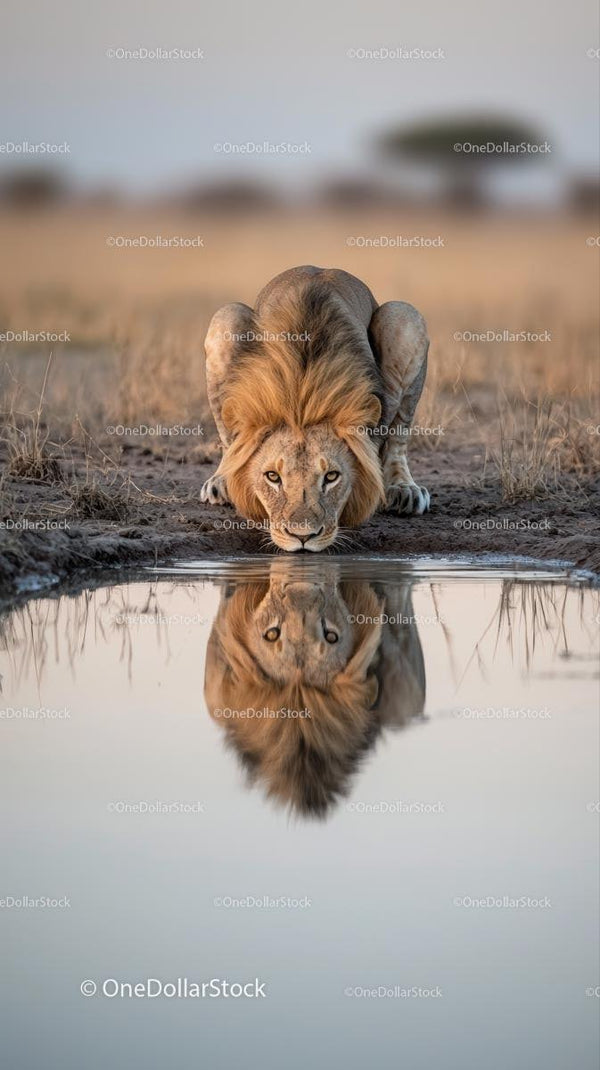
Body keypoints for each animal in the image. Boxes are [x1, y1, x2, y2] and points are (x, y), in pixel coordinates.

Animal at [201, 266, 430, 551]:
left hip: (402, 316)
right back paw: (220, 483)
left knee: (398, 437)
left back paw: (404, 489)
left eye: (331, 476)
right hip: (226, 317)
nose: (302, 536)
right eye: (273, 477)